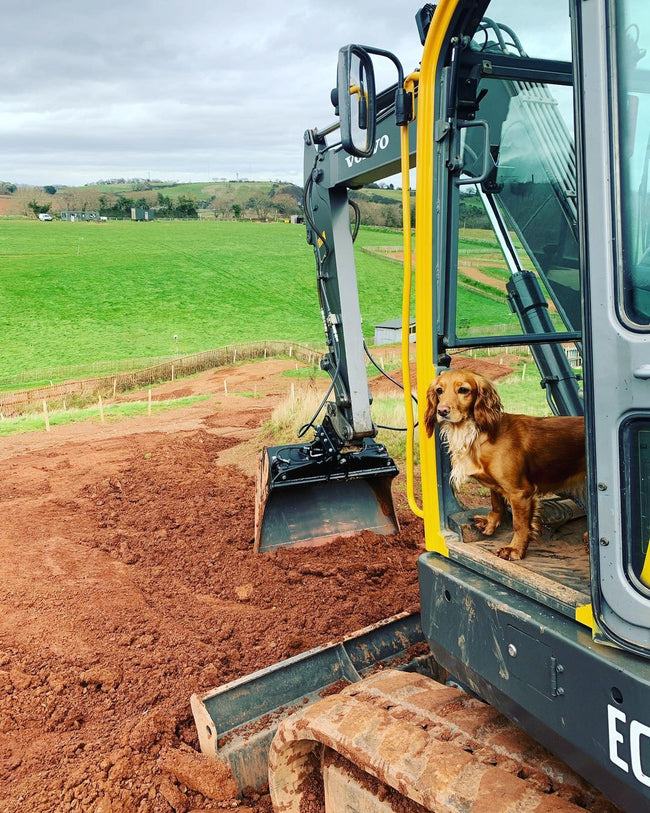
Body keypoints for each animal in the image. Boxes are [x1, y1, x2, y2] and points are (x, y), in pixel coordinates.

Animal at [422, 368, 584, 560]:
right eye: (439, 390)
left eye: (463, 390)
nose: (442, 411)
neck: (478, 433)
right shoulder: (496, 484)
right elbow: (496, 503)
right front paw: (490, 522)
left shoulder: (520, 492)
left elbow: (519, 524)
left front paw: (515, 549)